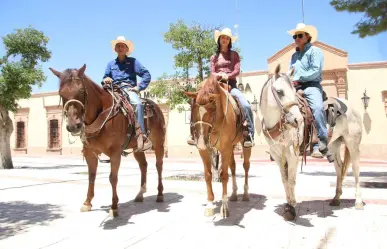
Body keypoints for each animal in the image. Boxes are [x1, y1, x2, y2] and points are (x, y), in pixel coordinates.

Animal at [49, 65, 166, 217]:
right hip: (137, 148)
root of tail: (155, 107)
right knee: (143, 165)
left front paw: (114, 206)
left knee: (159, 166)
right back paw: (140, 194)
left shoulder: (115, 152)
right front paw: (87, 203)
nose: (73, 126)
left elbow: (113, 177)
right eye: (61, 93)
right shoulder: (89, 152)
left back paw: (160, 194)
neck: (101, 112)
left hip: (159, 144)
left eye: (81, 91)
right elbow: (91, 176)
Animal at [186, 75, 253, 218]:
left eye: (212, 110)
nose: (201, 142)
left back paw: (245, 195)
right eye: (193, 109)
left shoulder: (224, 149)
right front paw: (210, 205)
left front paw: (224, 207)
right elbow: (208, 174)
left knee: (246, 167)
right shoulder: (205, 150)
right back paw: (234, 195)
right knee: (233, 166)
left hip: (244, 146)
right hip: (231, 147)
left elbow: (223, 175)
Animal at [258, 63, 364, 220]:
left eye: (293, 91)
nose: (297, 120)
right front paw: (288, 204)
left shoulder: (293, 155)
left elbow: (291, 180)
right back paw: (336, 199)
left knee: (356, 169)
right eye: (280, 92)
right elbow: (284, 180)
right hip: (334, 145)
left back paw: (358, 202)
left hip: (353, 144)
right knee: (339, 168)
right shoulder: (278, 156)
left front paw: (291, 207)